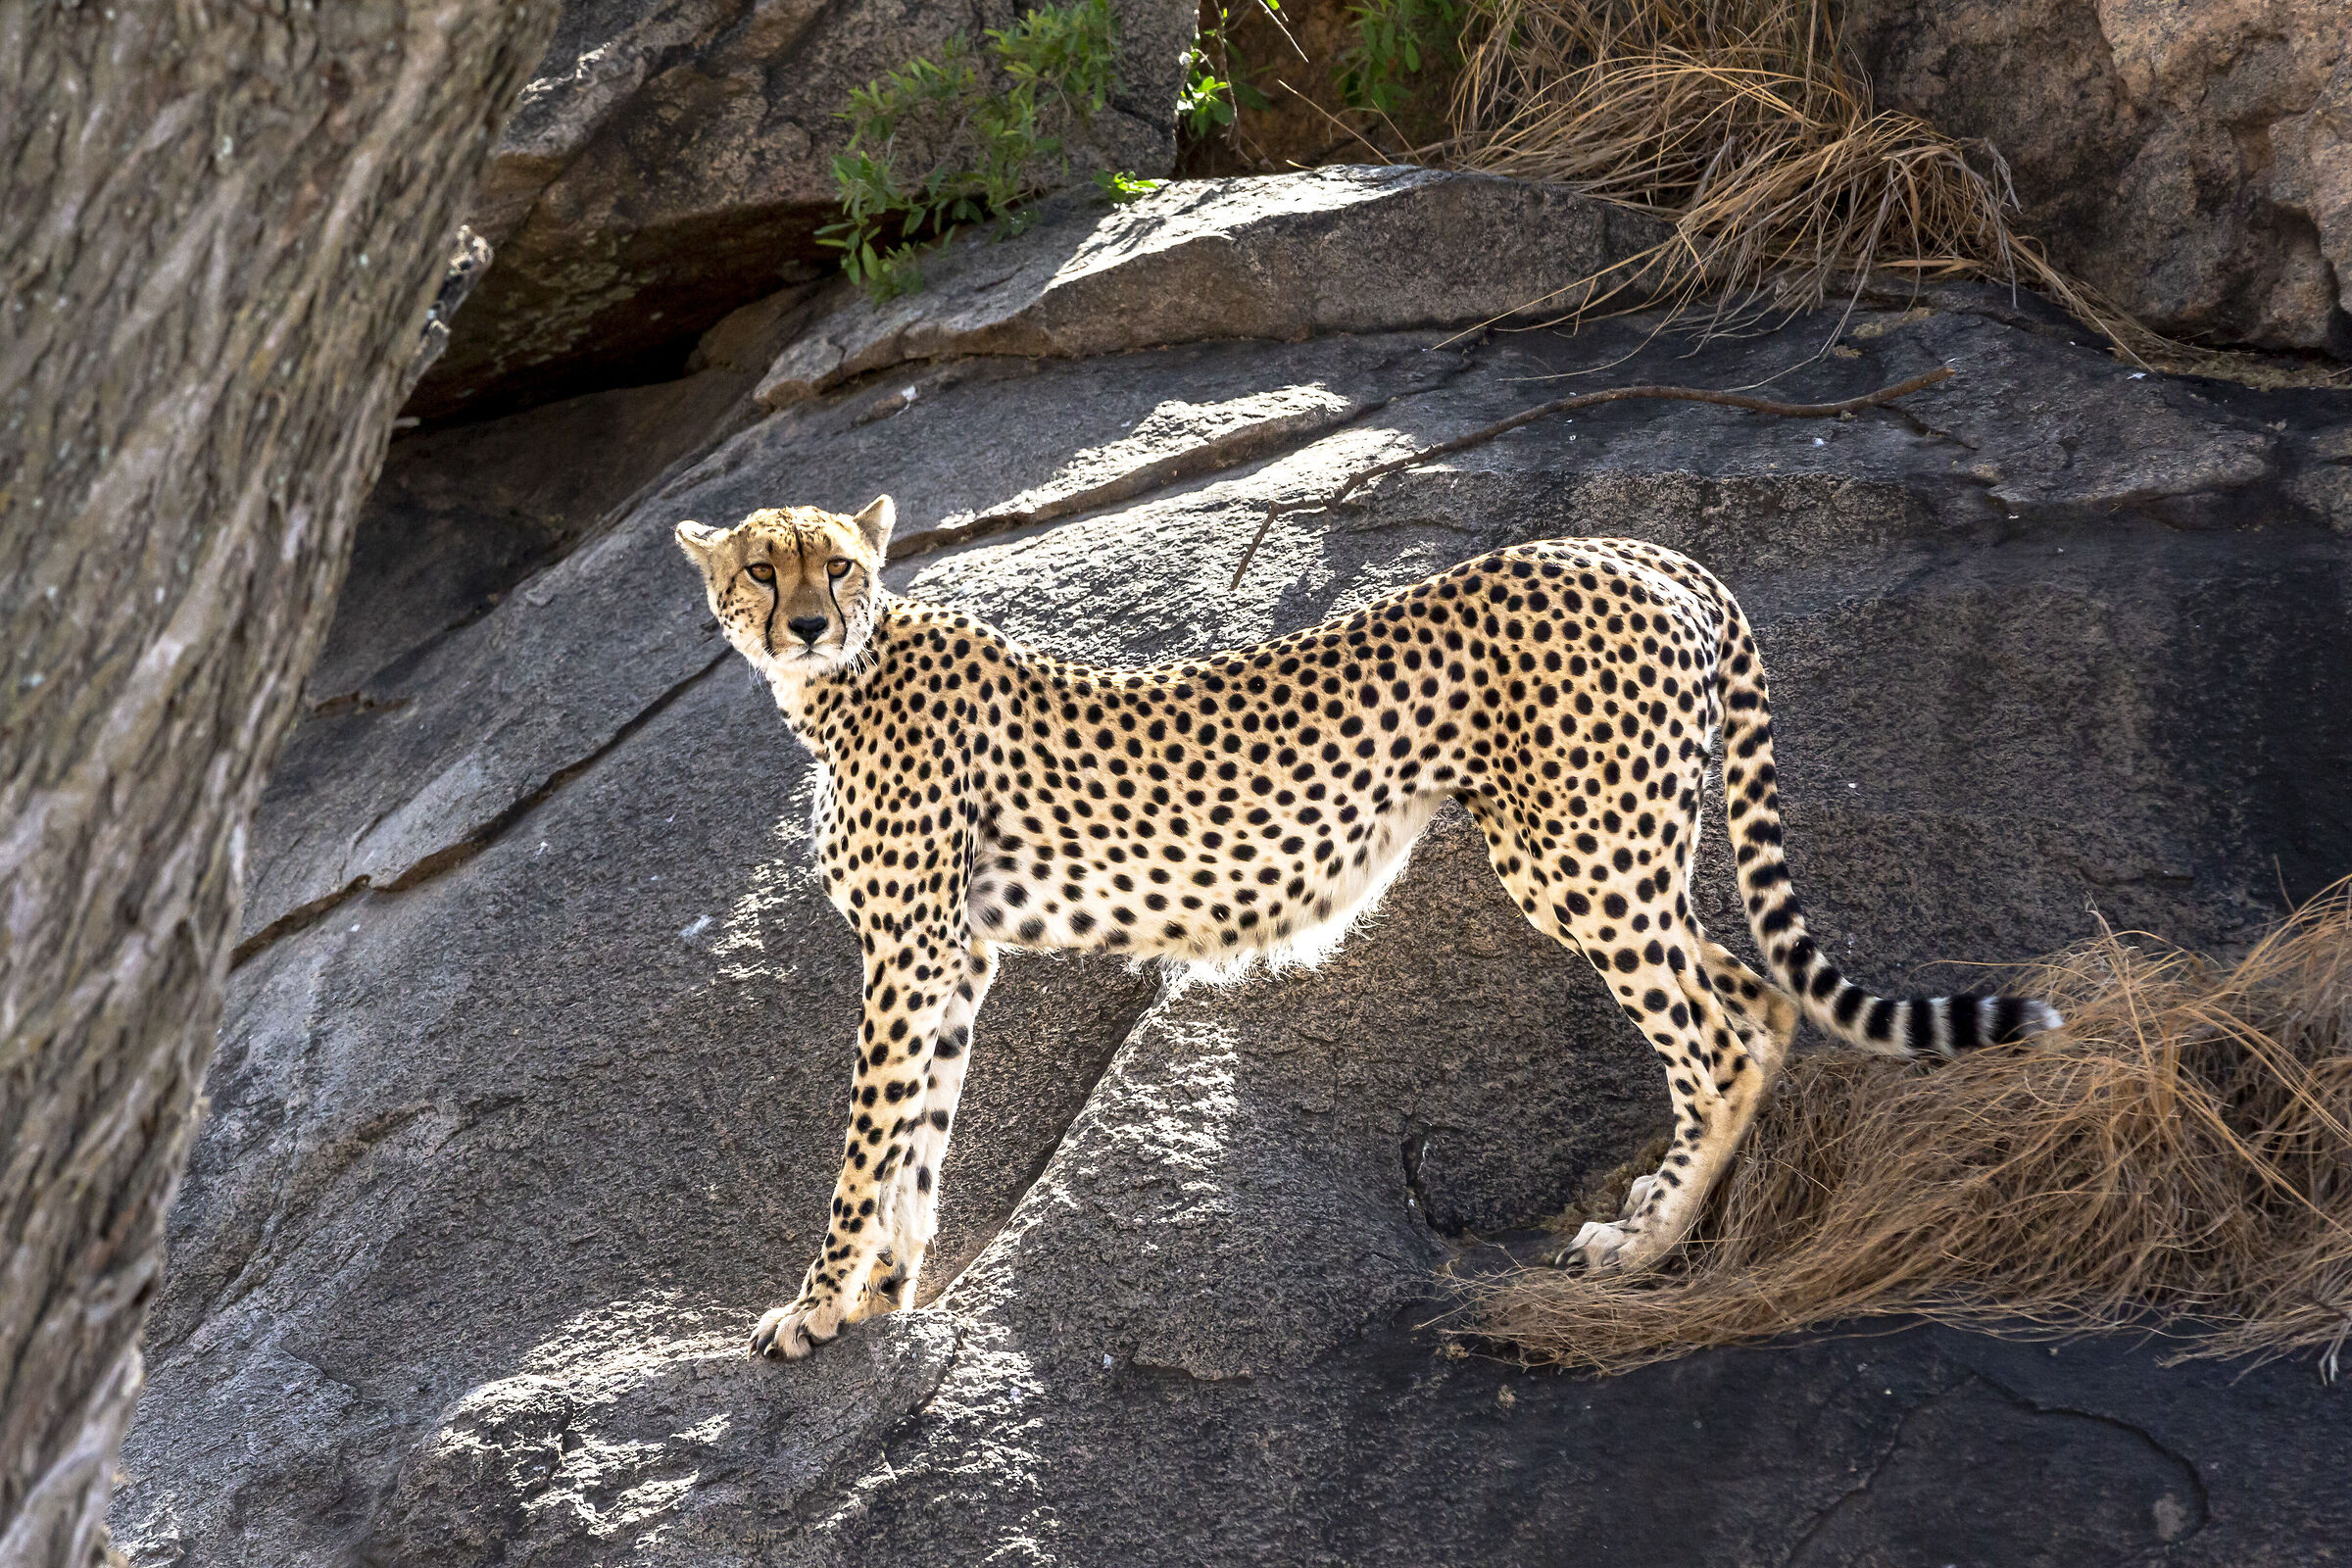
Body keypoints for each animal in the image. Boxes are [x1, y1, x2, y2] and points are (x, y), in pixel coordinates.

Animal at [674, 495, 2063, 1361]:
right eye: (762, 568)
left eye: (837, 566)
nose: (808, 620)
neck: (837, 682)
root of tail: (1638, 548)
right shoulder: (952, 954)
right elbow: (920, 1136)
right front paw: (885, 1297)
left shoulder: (908, 950)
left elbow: (868, 1143)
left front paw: (812, 1311)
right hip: (1606, 857)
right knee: (1758, 996)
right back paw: (1660, 1209)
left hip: (1581, 856)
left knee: (1715, 1034)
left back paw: (1640, 1250)